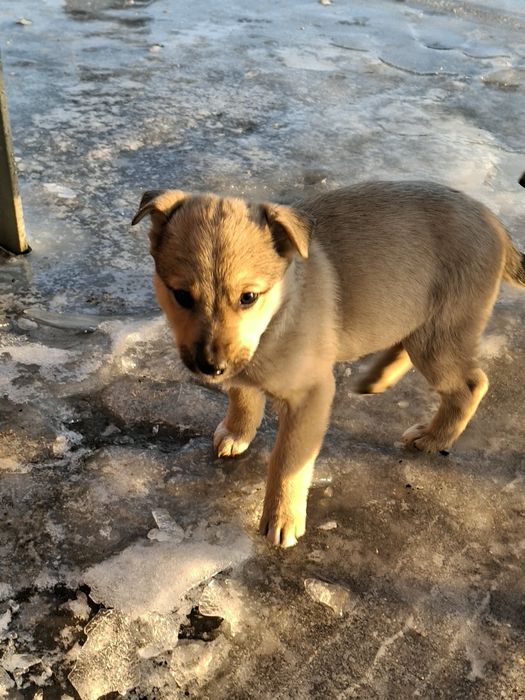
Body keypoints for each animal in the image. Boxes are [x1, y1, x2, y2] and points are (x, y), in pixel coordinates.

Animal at [132, 179, 525, 547]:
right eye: (181, 296)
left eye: (248, 297)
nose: (210, 367)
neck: (281, 310)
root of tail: (496, 224)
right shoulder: (243, 365)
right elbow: (243, 395)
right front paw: (237, 432)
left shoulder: (311, 395)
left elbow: (288, 461)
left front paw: (282, 519)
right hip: (414, 317)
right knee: (405, 343)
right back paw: (376, 379)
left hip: (440, 334)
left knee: (470, 384)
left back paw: (433, 437)